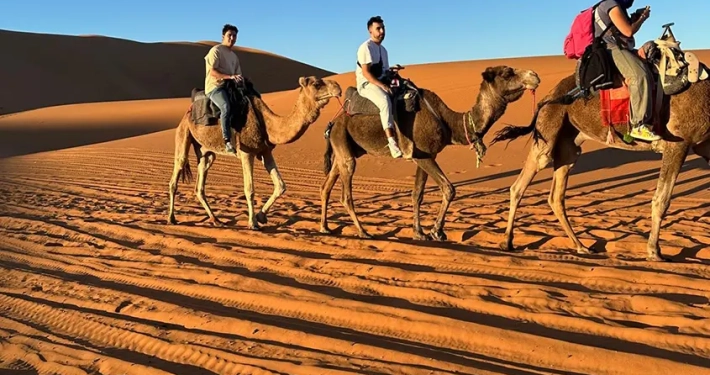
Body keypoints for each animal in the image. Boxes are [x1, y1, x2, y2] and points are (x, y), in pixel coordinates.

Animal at [168, 75, 344, 229]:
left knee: (200, 184)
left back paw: (216, 220)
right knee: (177, 171)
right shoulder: (247, 153)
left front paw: (261, 216)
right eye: (317, 84)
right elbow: (249, 189)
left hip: (206, 152)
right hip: (183, 134)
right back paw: (171, 218)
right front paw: (252, 223)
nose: (338, 87)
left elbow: (280, 186)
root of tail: (187, 112)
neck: (267, 123)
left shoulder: (265, 152)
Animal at [322, 65, 540, 241]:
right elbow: (448, 189)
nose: (534, 75)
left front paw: (419, 233)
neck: (449, 122)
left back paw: (325, 228)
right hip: (344, 146)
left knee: (327, 185)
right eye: (507, 73)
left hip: (344, 149)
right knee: (346, 195)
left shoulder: (424, 156)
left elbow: (417, 194)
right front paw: (437, 231)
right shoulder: (423, 156)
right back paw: (362, 232)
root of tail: (332, 123)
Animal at [490, 48, 710, 262]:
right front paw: (654, 252)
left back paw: (582, 247)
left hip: (569, 145)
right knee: (520, 184)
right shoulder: (679, 144)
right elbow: (661, 200)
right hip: (547, 130)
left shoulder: (703, 147)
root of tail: (546, 97)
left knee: (556, 196)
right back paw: (507, 242)